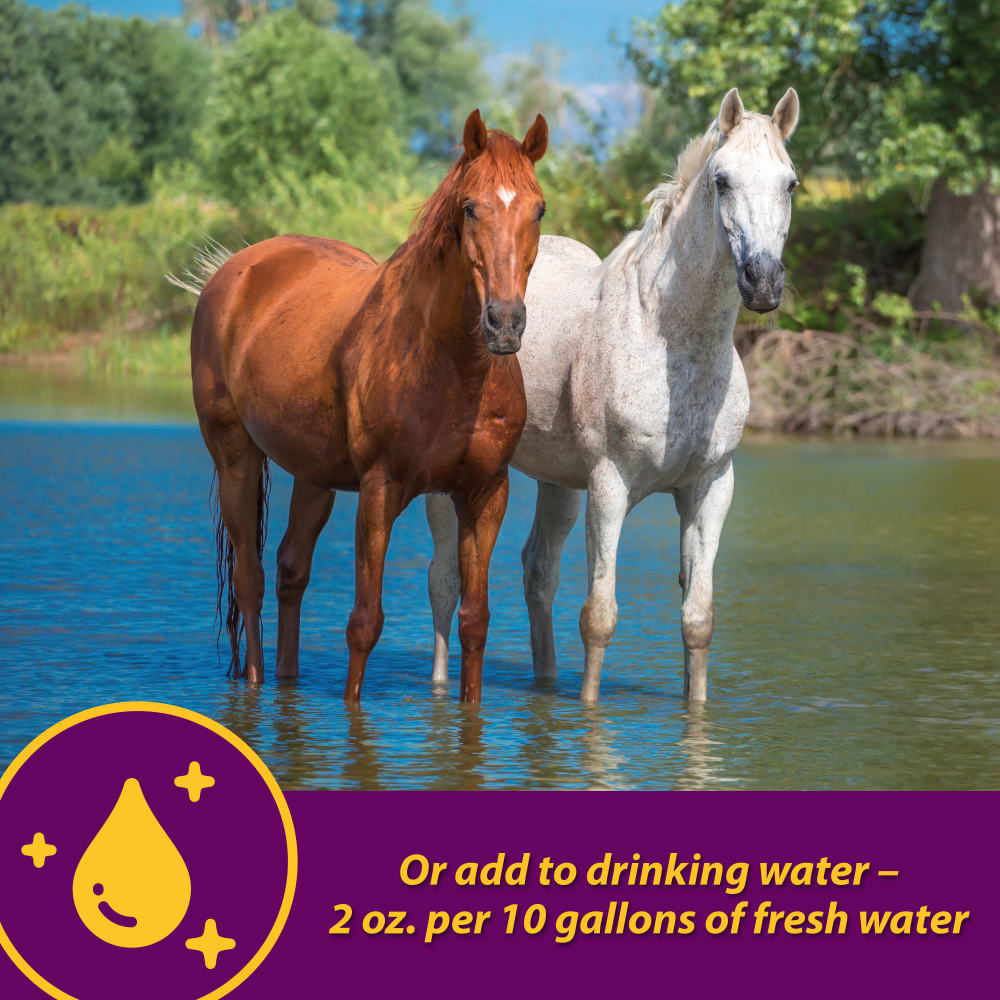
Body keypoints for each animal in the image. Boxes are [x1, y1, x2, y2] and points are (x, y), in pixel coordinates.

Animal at [171, 109, 549, 703]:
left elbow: (475, 622)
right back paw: (255, 682)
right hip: (235, 457)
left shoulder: (486, 495)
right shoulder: (379, 491)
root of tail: (230, 271)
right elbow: (365, 623)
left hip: (314, 476)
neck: (449, 362)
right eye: (470, 207)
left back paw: (288, 676)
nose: (505, 322)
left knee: (290, 571)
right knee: (251, 582)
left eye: (539, 208)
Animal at [425, 88, 800, 701]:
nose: (763, 281)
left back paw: (546, 680)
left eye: (789, 183)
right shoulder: (610, 484)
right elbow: (599, 617)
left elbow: (698, 620)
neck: (671, 344)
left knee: (538, 572)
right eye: (722, 180)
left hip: (557, 482)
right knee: (444, 580)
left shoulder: (710, 488)